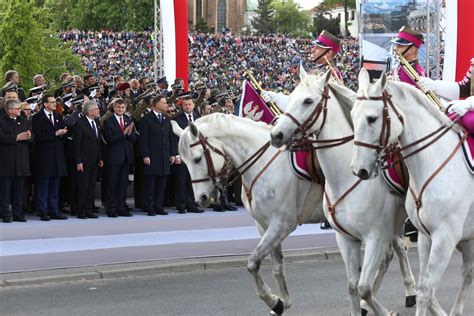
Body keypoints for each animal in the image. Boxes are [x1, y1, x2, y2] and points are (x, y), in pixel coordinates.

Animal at [171, 115, 326, 314]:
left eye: (197, 159)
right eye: (183, 161)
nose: (201, 198)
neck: (266, 163)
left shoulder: (282, 224)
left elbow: (253, 263)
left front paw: (273, 301)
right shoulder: (265, 225)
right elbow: (277, 266)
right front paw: (282, 302)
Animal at [268, 69, 416, 316]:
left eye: (308, 101)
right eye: (291, 97)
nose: (276, 135)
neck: (348, 177)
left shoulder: (376, 237)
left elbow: (364, 287)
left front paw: (385, 311)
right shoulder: (346, 239)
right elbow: (353, 286)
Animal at [352, 68, 474, 314]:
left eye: (372, 118)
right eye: (351, 115)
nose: (359, 170)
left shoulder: (445, 238)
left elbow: (426, 290)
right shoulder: (427, 236)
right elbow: (423, 286)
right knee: (468, 271)